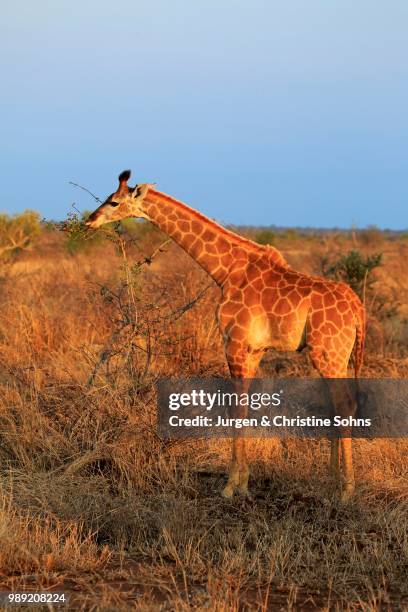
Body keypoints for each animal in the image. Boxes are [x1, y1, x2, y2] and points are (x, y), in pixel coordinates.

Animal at [87, 171, 366, 502]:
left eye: (114, 202)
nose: (90, 220)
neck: (226, 271)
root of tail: (358, 308)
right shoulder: (254, 349)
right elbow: (245, 406)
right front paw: (243, 483)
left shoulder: (233, 342)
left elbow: (235, 406)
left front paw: (230, 486)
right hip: (335, 355)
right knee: (336, 406)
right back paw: (331, 483)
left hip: (329, 353)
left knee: (345, 405)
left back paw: (347, 490)